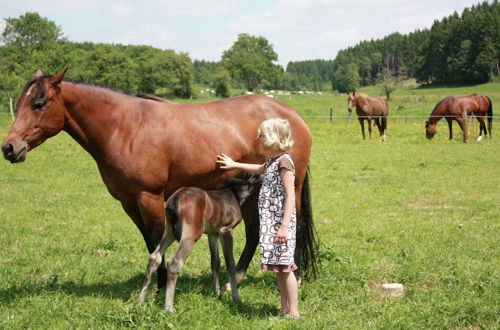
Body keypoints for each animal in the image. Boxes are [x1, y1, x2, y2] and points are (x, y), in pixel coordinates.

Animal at [138, 177, 260, 310]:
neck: (233, 194)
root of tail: (175, 198)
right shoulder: (226, 230)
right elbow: (230, 263)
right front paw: (236, 297)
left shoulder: (213, 234)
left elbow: (215, 262)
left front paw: (217, 294)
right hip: (191, 235)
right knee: (174, 262)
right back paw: (169, 308)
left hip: (169, 231)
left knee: (154, 257)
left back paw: (140, 302)